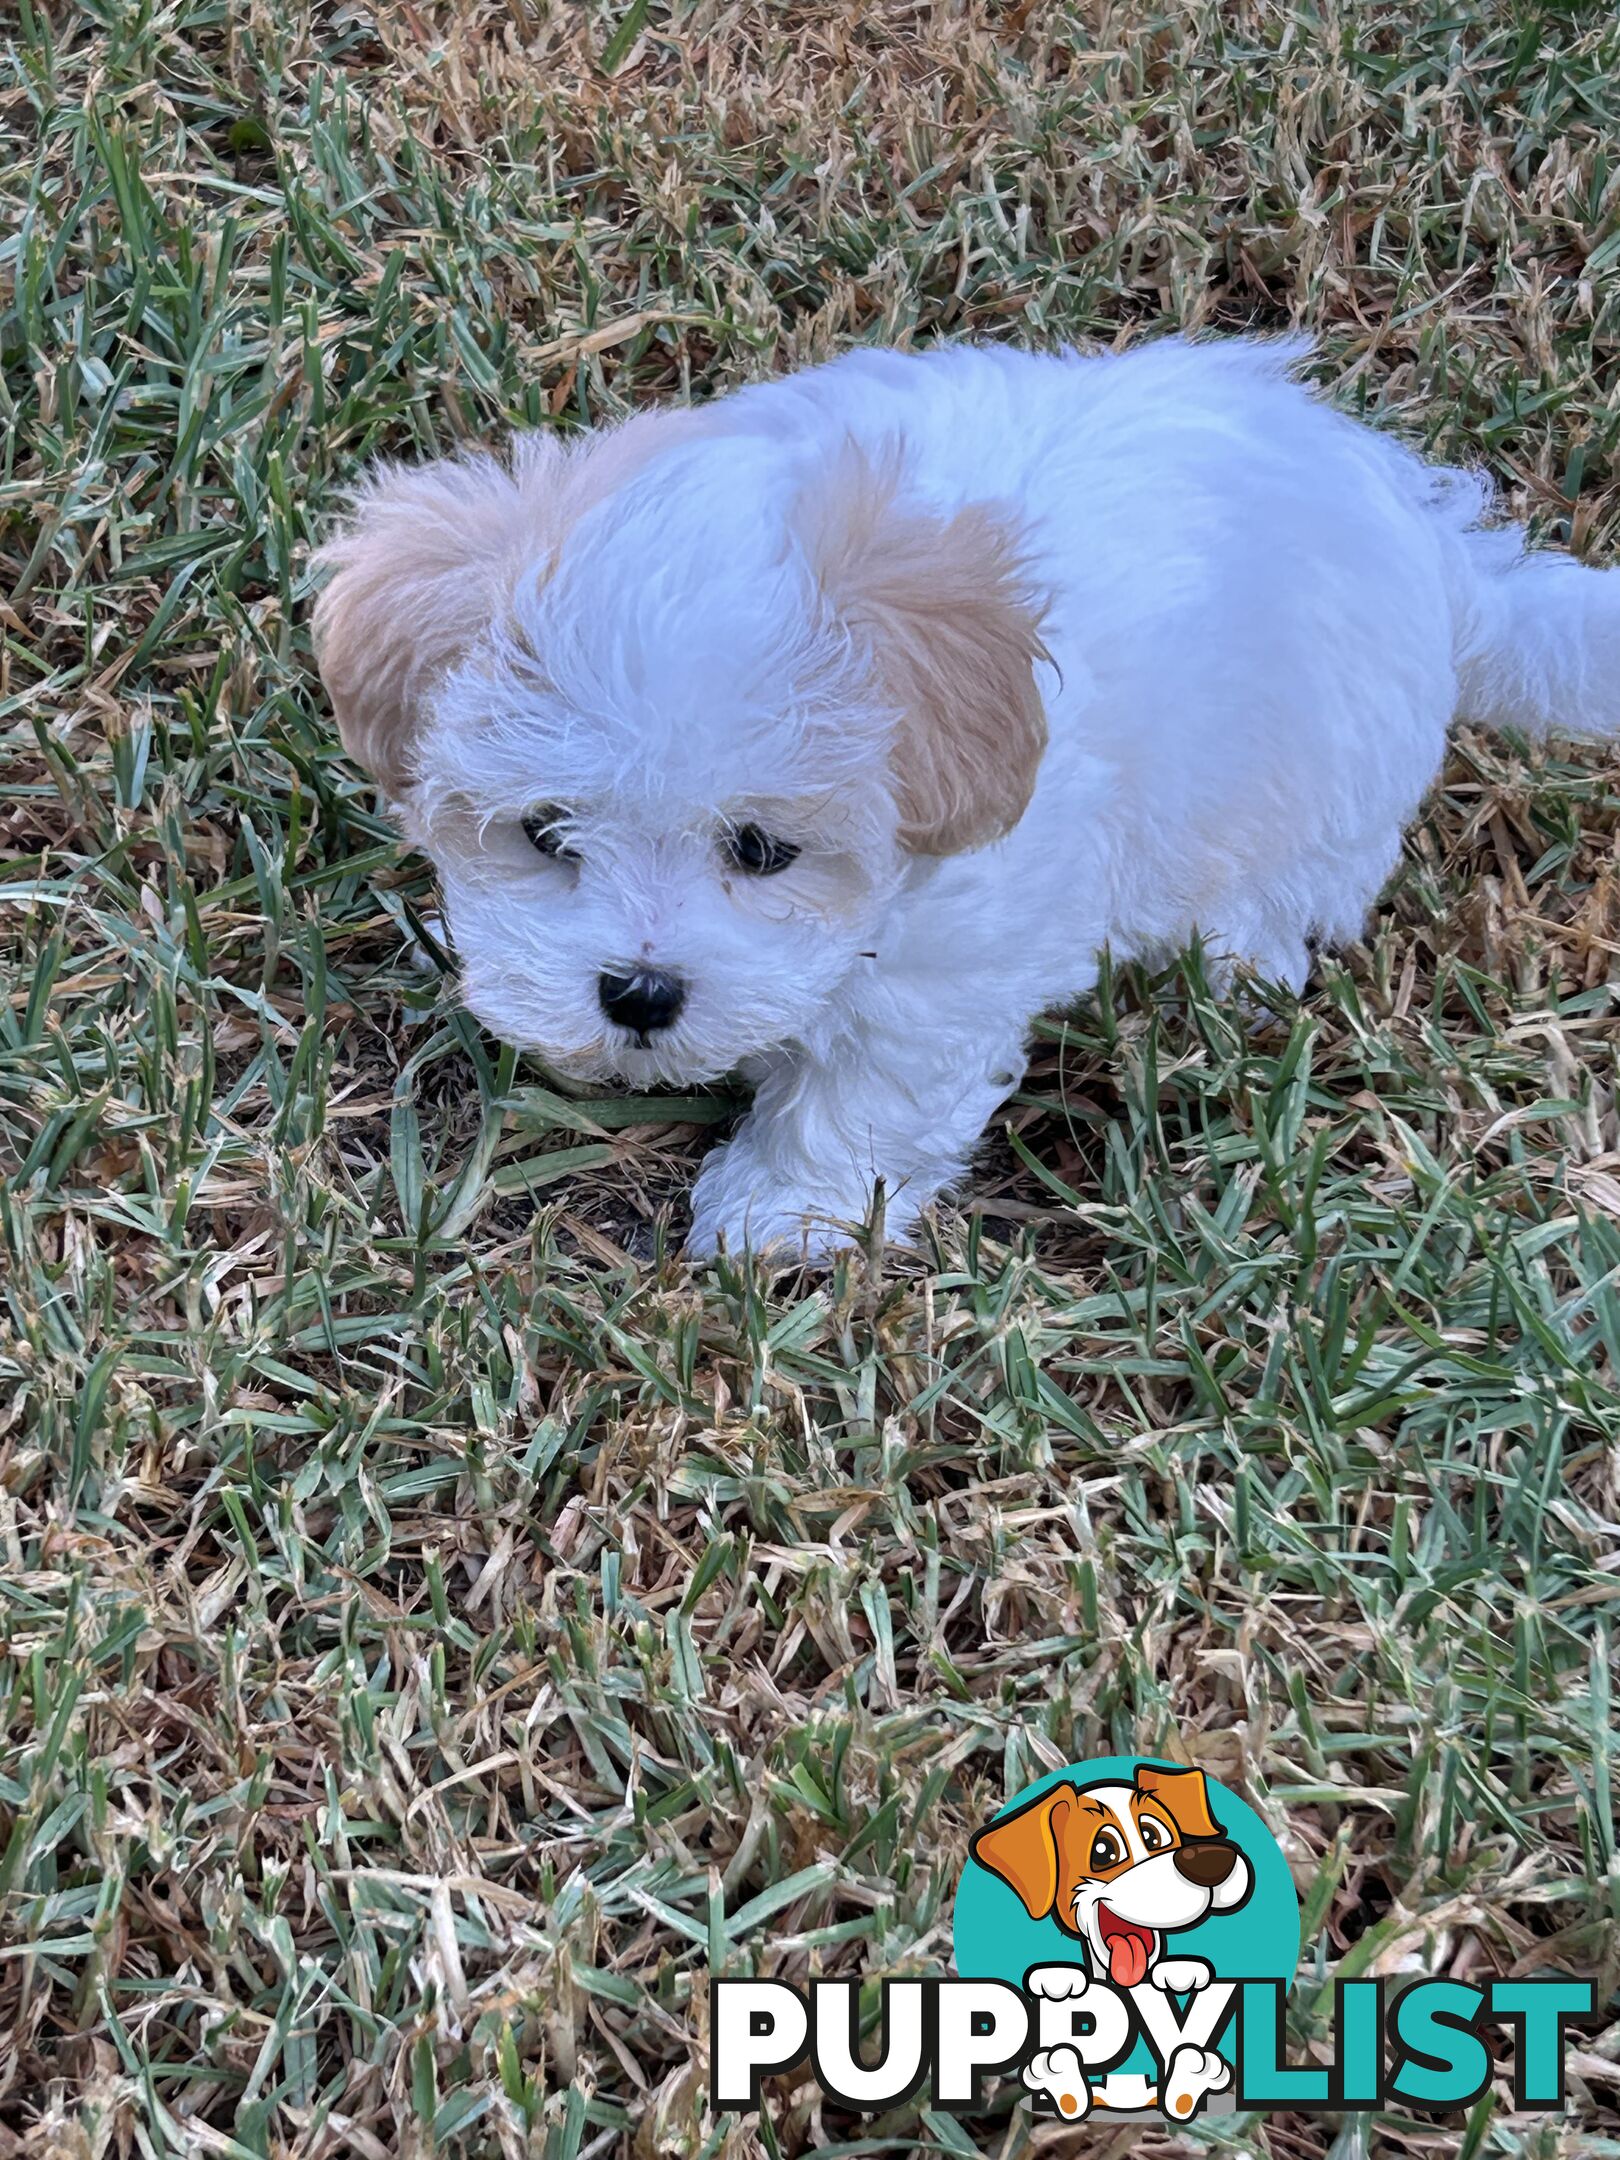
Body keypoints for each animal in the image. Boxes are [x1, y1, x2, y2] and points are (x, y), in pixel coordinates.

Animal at [317, 332, 1620, 1252]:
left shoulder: (942, 972)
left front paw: (778, 1214)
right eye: (544, 834)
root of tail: (1434, 552)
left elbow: (866, 1088)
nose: (639, 994)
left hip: (1315, 783)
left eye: (763, 850)